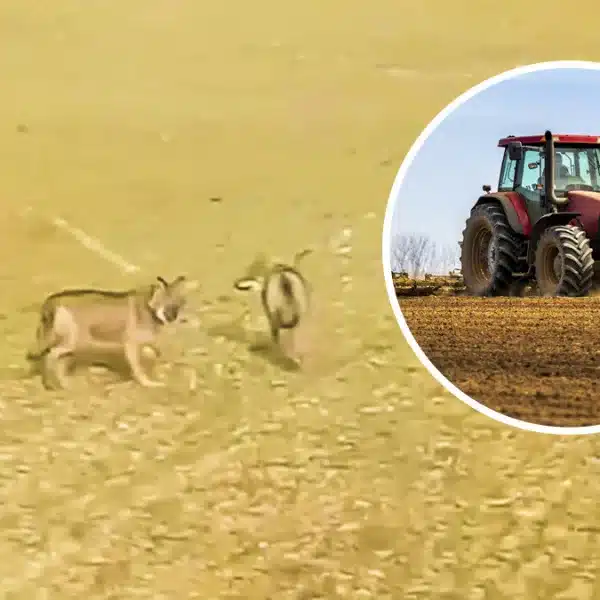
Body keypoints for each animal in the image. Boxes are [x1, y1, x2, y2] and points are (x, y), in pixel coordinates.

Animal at [25, 276, 188, 390]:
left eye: (177, 305)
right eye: (166, 305)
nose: (173, 317)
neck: (149, 308)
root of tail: (51, 300)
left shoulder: (145, 344)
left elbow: (157, 355)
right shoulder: (131, 346)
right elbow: (139, 369)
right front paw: (148, 383)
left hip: (70, 344)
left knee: (57, 361)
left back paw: (65, 384)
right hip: (73, 342)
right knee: (50, 357)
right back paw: (52, 385)